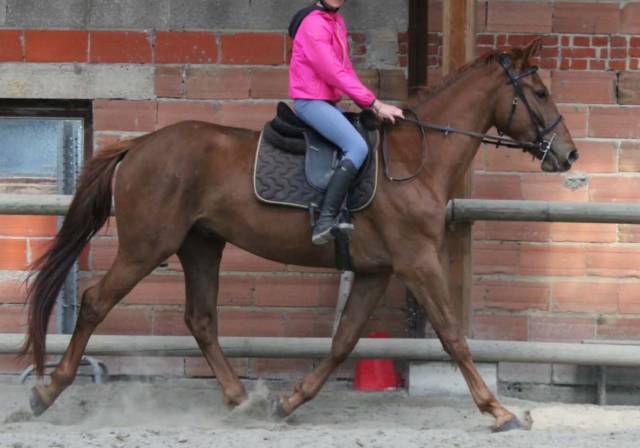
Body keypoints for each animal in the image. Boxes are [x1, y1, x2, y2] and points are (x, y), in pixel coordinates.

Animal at [22, 38, 577, 432]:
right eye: (540, 93)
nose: (568, 154)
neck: (413, 161)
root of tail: (138, 145)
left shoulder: (376, 271)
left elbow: (344, 341)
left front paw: (289, 401)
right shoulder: (417, 261)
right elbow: (452, 336)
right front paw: (499, 411)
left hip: (201, 244)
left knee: (201, 319)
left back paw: (241, 400)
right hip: (146, 247)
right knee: (96, 301)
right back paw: (46, 392)